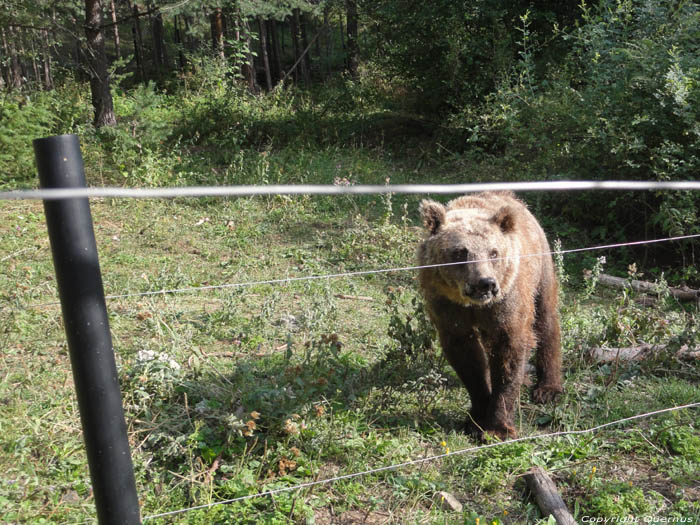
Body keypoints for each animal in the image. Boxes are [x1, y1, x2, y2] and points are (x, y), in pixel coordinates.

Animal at [416, 190, 564, 436]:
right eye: (460, 252)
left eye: (493, 252)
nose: (485, 283)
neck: (472, 305)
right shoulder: (447, 307)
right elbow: (469, 360)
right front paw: (476, 418)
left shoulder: (506, 303)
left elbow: (509, 353)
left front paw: (497, 427)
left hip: (540, 269)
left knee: (545, 320)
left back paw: (548, 387)